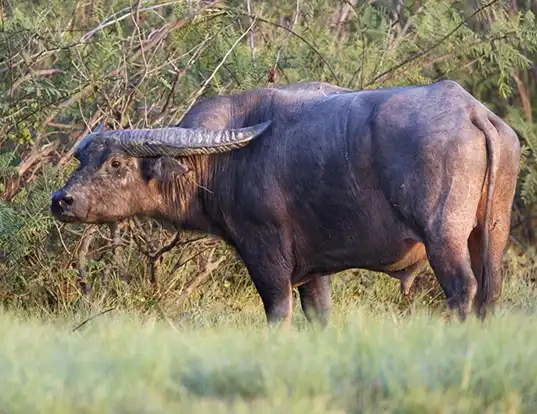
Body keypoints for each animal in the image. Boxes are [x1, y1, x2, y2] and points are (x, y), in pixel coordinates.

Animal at [50, 80, 520, 326]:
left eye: (115, 162)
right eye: (81, 159)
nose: (61, 200)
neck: (226, 161)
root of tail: (472, 111)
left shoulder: (265, 251)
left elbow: (277, 310)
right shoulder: (314, 269)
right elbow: (319, 314)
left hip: (443, 236)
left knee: (462, 287)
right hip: (491, 234)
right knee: (490, 289)